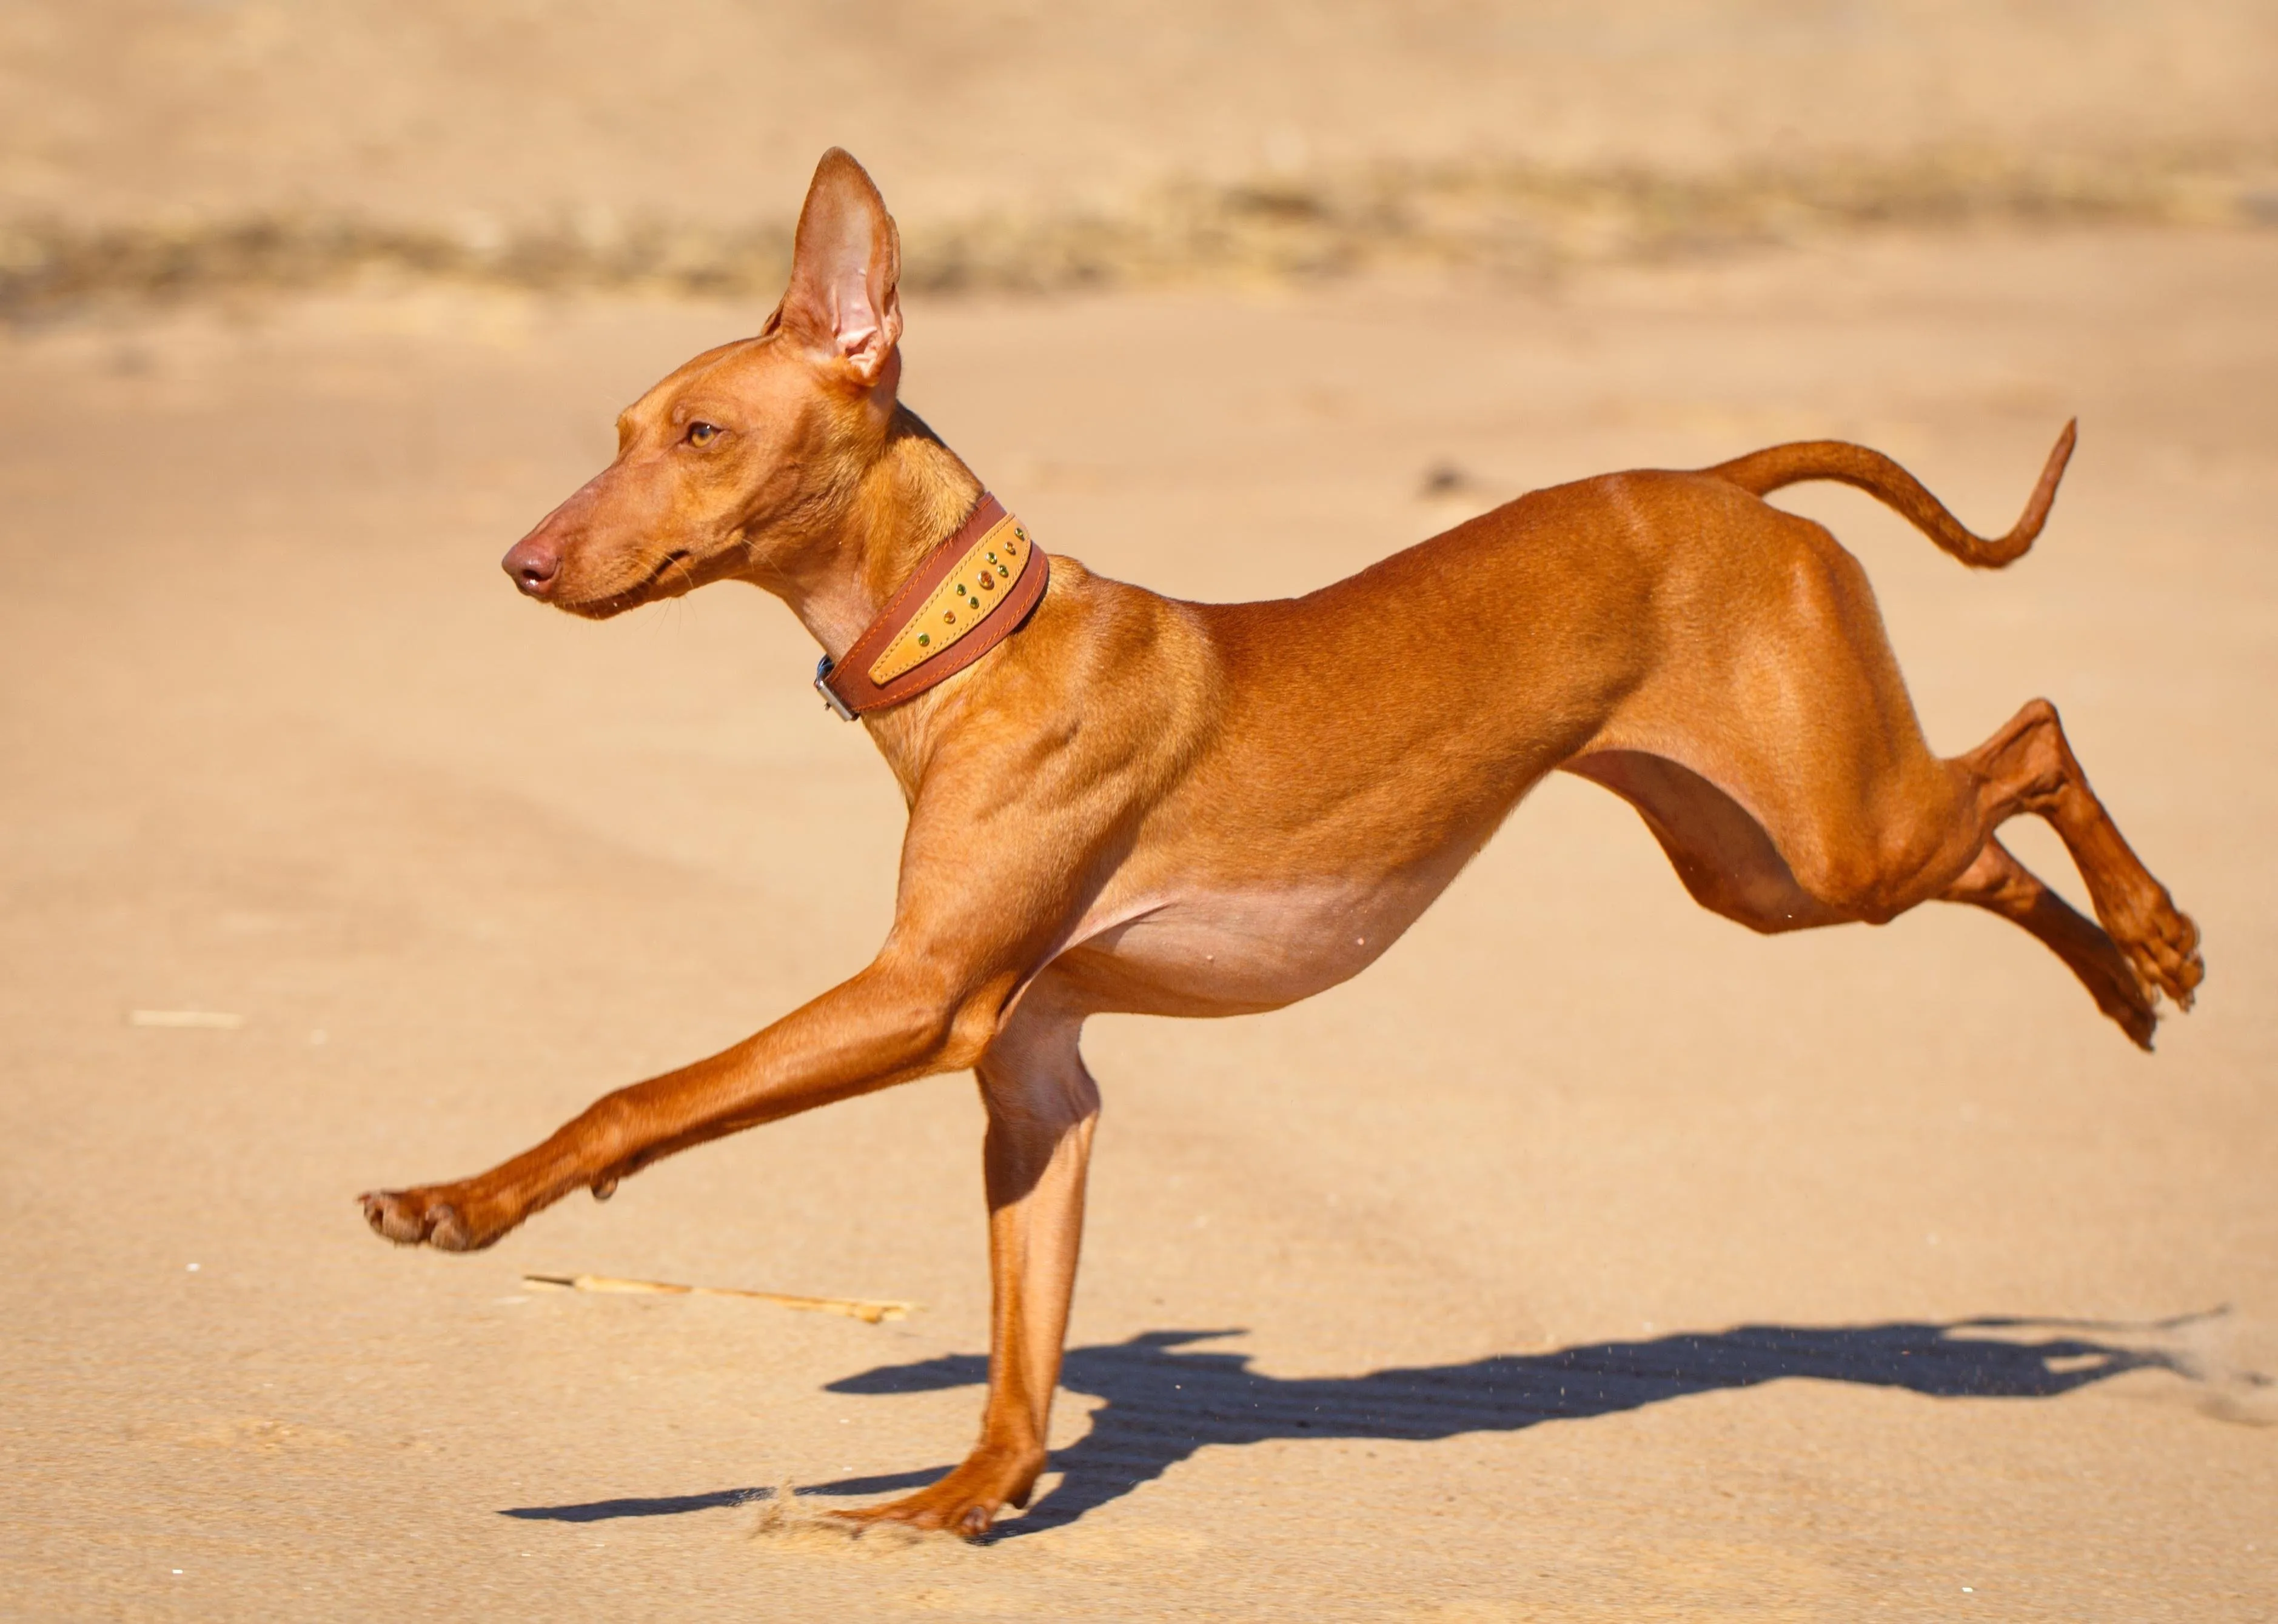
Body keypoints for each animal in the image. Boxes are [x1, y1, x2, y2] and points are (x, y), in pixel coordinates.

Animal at [360, 145, 2205, 1530]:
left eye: (701, 433)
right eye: (620, 428)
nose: (524, 562)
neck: (980, 639)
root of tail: (1724, 482)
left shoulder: (917, 992)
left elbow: (639, 1093)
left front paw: (463, 1199)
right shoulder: (1033, 1072)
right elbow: (1020, 1353)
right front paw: (956, 1499)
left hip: (1831, 832)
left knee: (2031, 737)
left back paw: (2156, 936)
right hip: (1762, 869)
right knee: (1991, 831)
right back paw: (2122, 985)